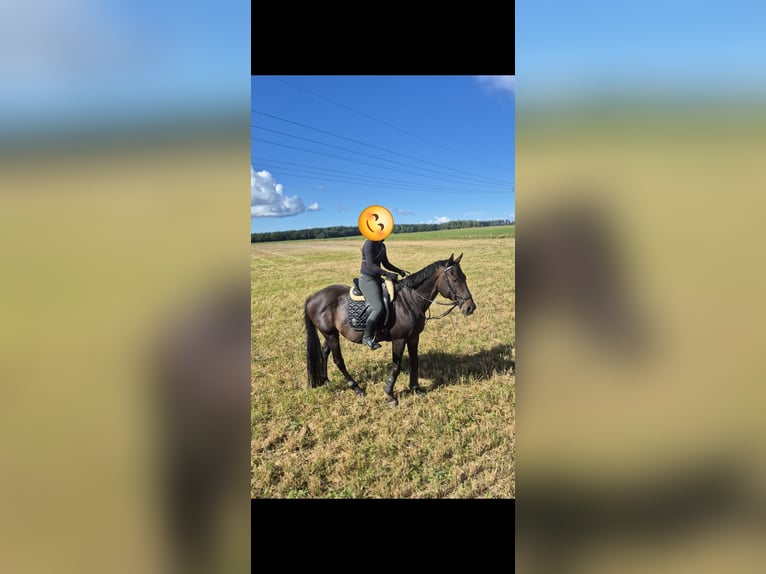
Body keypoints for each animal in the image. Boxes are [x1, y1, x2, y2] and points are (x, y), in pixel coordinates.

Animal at [303, 253, 476, 406]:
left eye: (465, 277)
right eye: (454, 279)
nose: (470, 307)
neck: (409, 301)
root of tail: (312, 297)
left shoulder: (414, 337)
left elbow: (414, 361)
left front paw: (416, 388)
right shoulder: (399, 339)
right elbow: (396, 366)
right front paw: (390, 394)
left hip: (330, 334)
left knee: (324, 352)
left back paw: (326, 380)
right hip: (331, 335)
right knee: (338, 360)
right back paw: (356, 388)